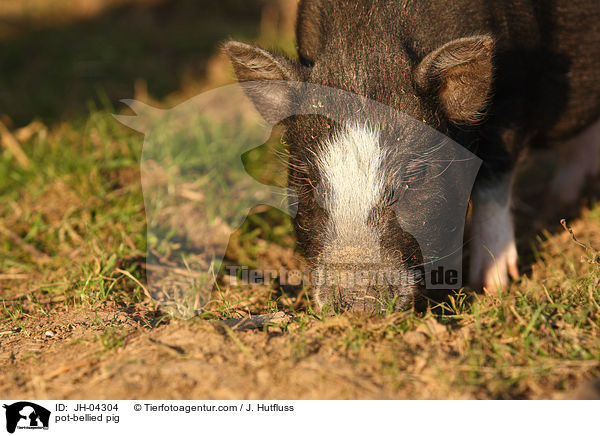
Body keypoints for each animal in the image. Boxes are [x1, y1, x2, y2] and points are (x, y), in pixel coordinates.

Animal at [221, 0, 600, 314]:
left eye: (414, 177)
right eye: (306, 180)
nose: (358, 302)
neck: (368, 44)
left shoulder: (512, 97)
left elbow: (493, 178)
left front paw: (491, 288)